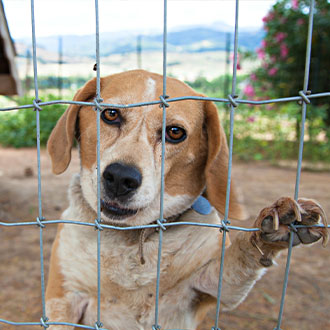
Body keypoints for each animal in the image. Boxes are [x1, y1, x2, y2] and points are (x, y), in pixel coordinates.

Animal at [45, 70, 328, 330]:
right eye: (111, 114)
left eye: (174, 132)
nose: (119, 177)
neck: (134, 238)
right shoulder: (64, 298)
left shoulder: (210, 287)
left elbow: (242, 256)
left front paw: (276, 227)